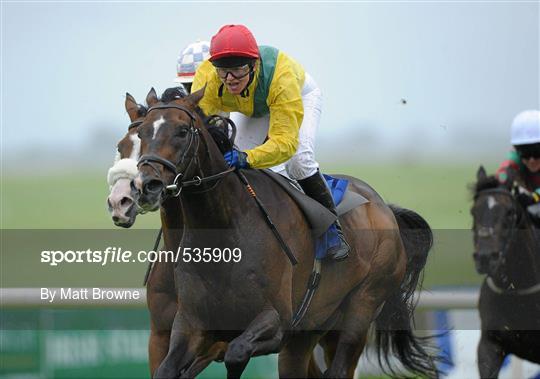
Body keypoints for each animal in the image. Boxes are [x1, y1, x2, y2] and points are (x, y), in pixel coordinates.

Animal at [132, 87, 438, 379]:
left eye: (182, 131)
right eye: (141, 132)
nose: (147, 185)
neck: (224, 234)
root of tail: (384, 208)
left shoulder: (277, 323)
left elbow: (236, 353)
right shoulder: (189, 325)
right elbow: (166, 370)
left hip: (363, 304)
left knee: (339, 367)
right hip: (311, 329)